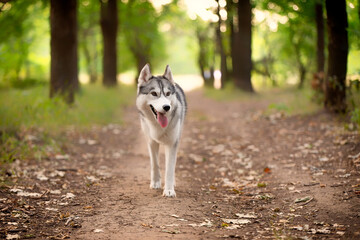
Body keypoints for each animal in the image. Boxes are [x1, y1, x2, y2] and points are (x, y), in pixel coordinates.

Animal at [135, 63, 186, 197]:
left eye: (168, 94)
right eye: (154, 93)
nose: (166, 107)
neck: (158, 125)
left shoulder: (172, 144)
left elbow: (169, 168)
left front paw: (169, 190)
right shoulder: (151, 142)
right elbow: (155, 164)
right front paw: (155, 183)